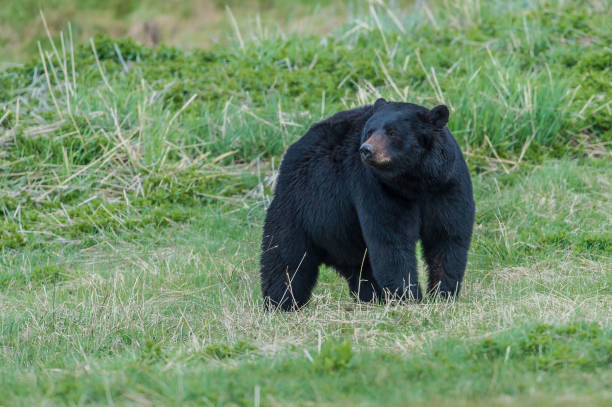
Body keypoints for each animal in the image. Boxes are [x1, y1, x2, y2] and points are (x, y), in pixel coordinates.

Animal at [260, 98, 476, 310]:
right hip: (301, 203)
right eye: (370, 131)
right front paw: (408, 297)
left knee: (361, 268)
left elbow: (447, 236)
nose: (366, 150)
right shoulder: (377, 188)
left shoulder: (446, 186)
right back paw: (281, 302)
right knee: (286, 256)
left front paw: (443, 294)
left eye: (392, 132)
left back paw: (371, 298)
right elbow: (391, 239)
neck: (414, 181)